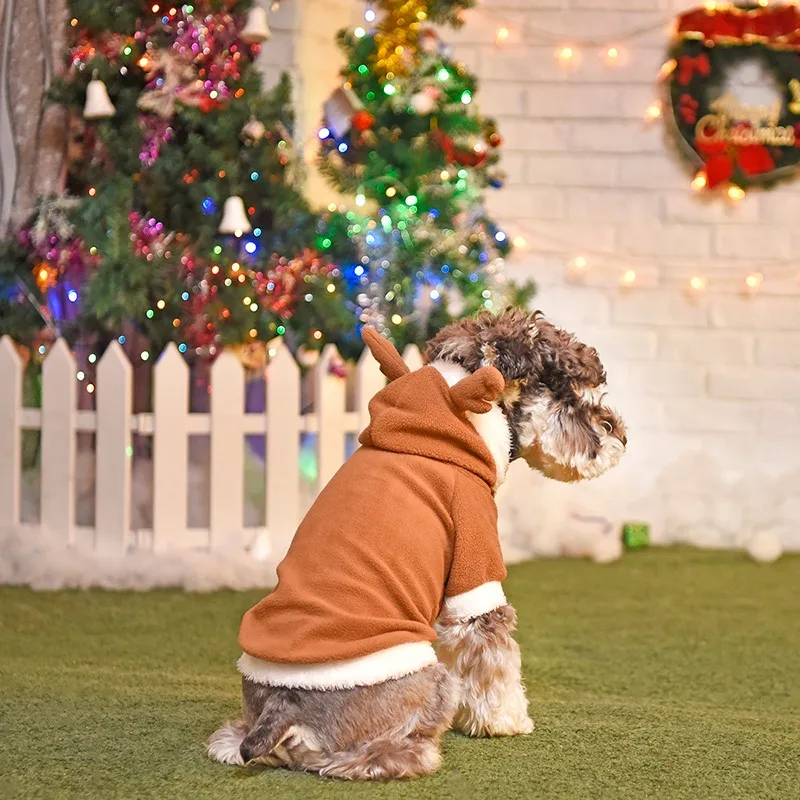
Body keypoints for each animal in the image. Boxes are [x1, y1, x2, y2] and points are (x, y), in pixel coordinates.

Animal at [208, 310, 624, 780]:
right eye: (567, 393)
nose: (619, 435)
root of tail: (284, 709)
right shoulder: (475, 568)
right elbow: (494, 656)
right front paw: (506, 721)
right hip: (433, 679)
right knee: (361, 759)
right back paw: (417, 752)